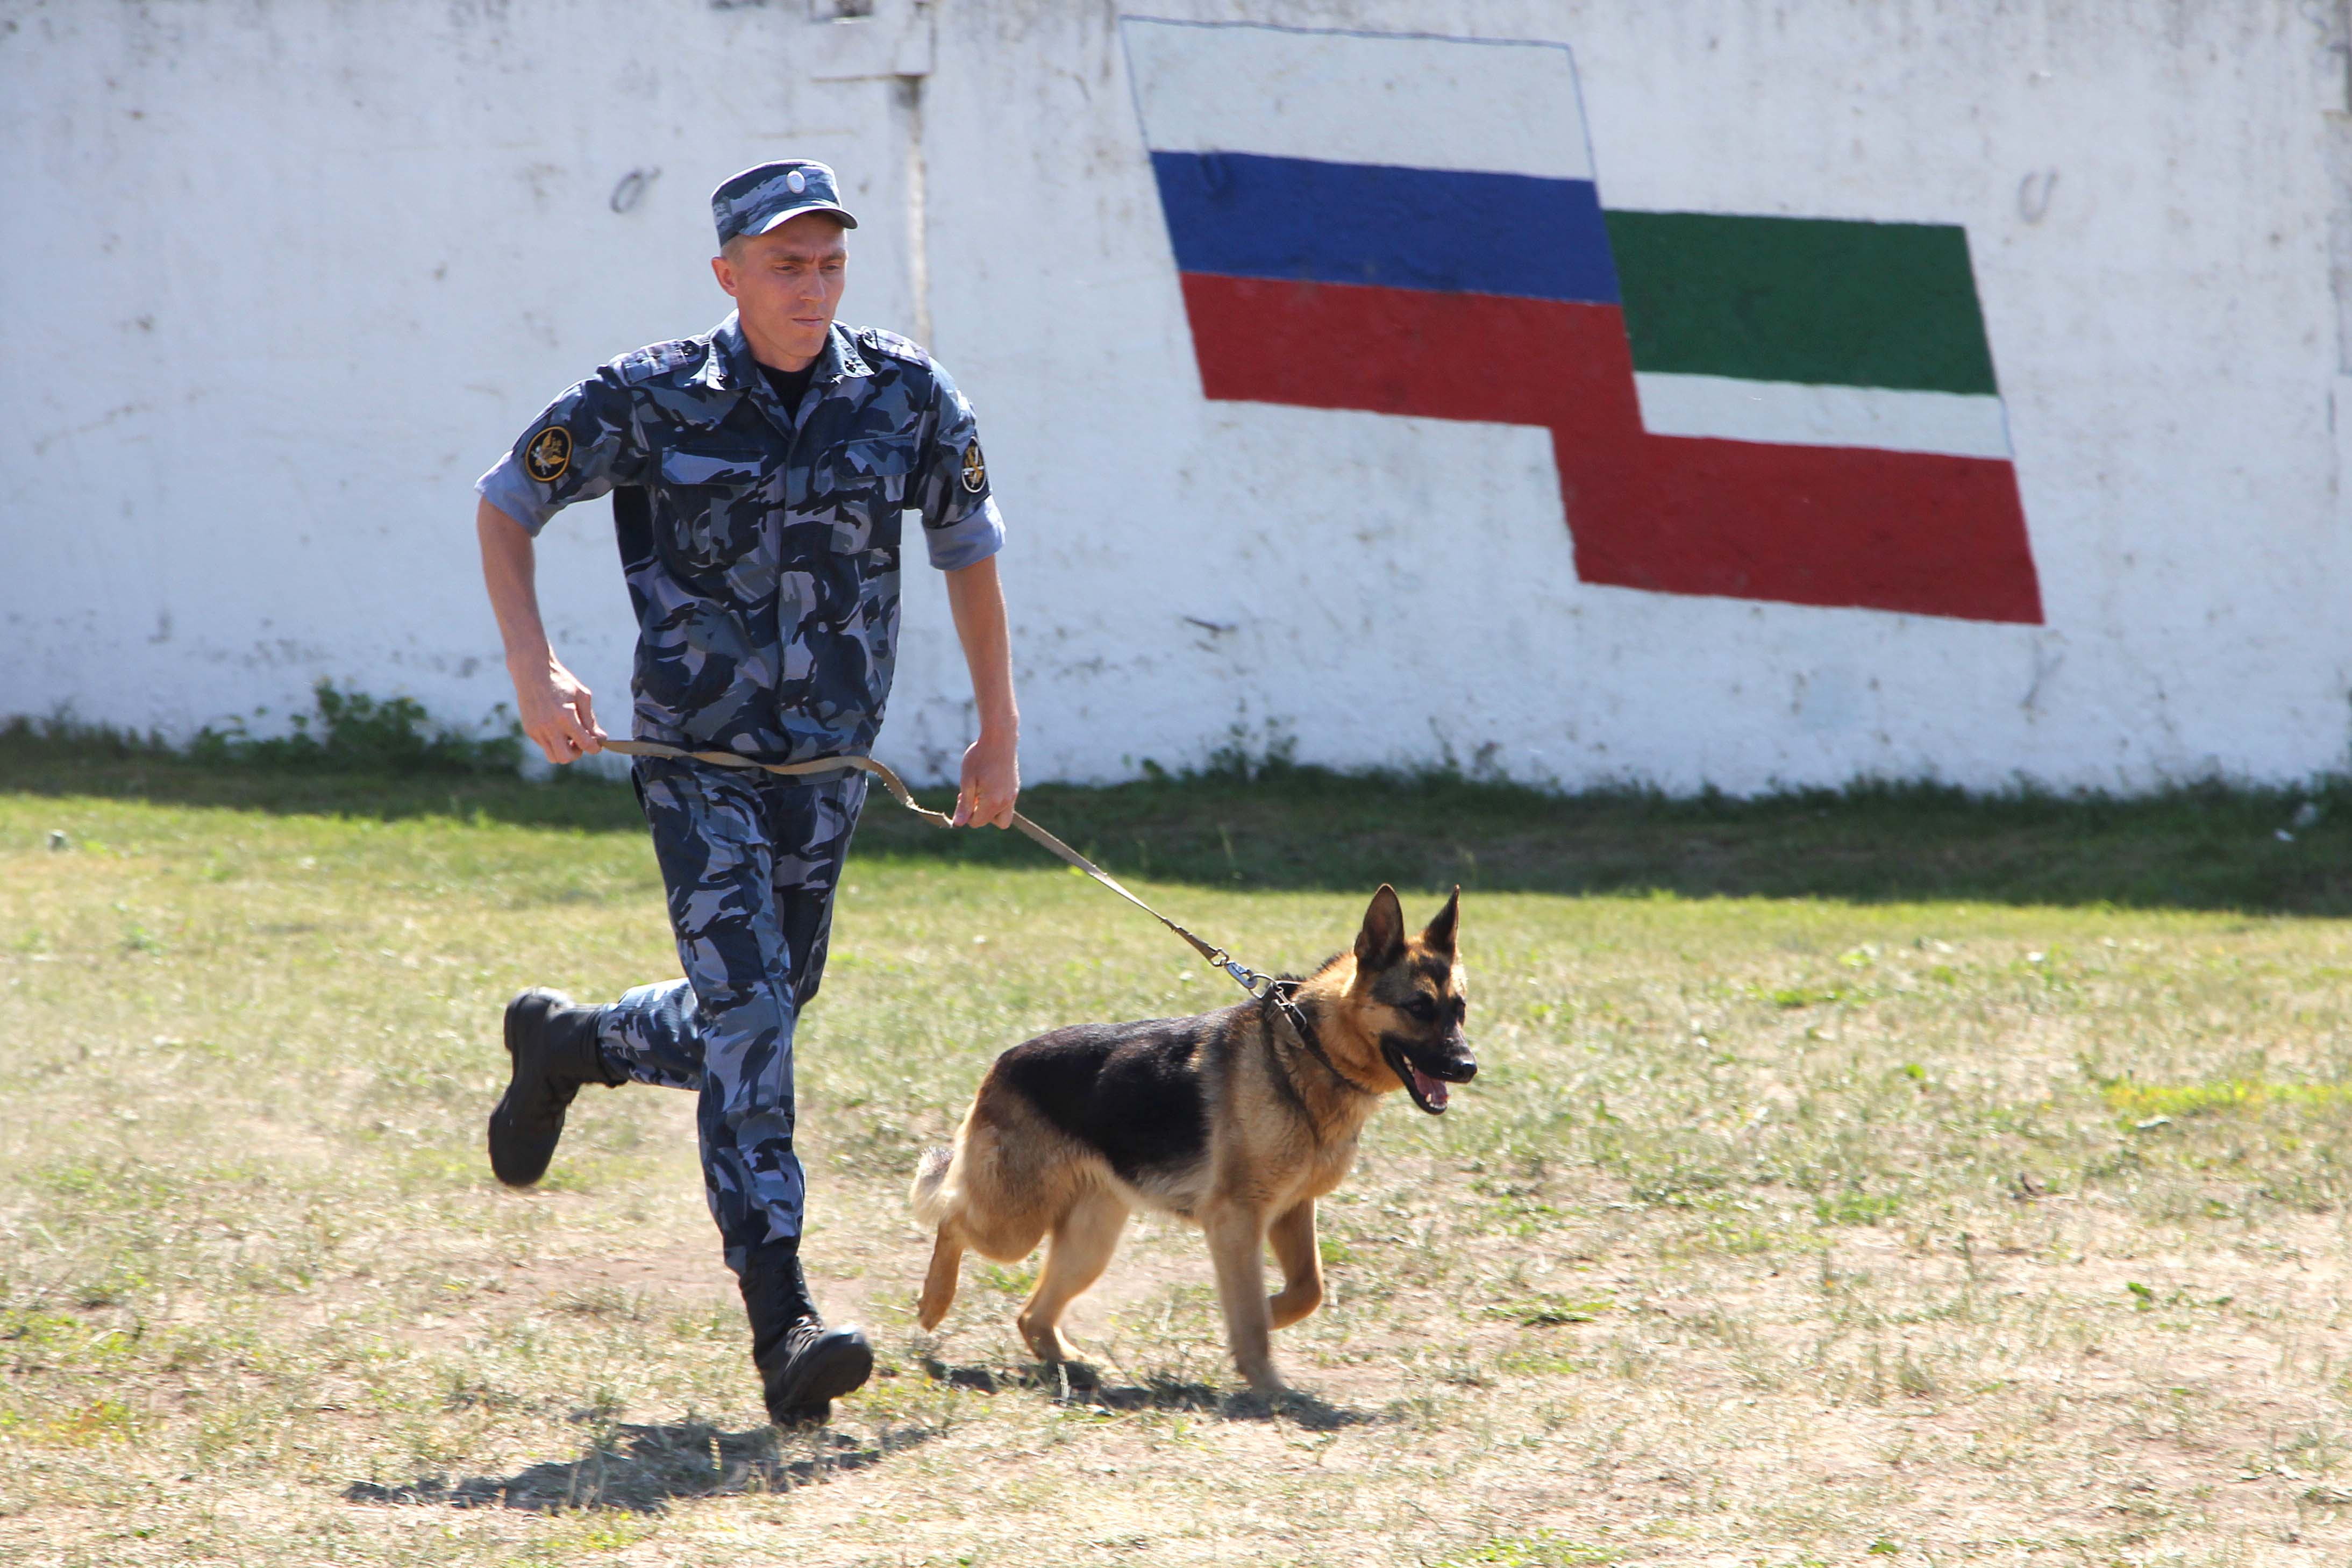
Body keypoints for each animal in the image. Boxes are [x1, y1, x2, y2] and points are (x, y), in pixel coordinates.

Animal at [913, 888, 1477, 1392]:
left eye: (1460, 1009)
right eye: (1418, 1007)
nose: (1468, 1067)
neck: (1307, 1049)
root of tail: (1001, 1064)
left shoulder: (1293, 1210)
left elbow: (1308, 1290)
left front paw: (1268, 1317)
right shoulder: (1237, 1221)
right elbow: (1249, 1310)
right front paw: (1264, 1375)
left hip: (1090, 1242)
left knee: (1031, 1314)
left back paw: (1070, 1363)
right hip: (1014, 1224)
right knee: (951, 1219)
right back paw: (934, 1303)